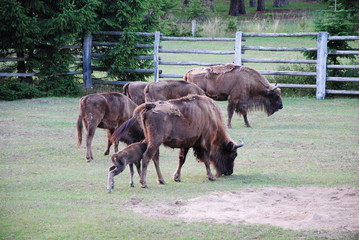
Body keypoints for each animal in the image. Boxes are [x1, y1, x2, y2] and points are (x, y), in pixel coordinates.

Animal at [112, 94, 245, 188]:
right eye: (233, 155)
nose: (229, 172)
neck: (211, 114)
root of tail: (149, 106)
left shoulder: (186, 144)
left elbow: (182, 160)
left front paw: (177, 177)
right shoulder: (206, 142)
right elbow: (207, 159)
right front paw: (211, 176)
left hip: (152, 141)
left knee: (155, 159)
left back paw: (162, 180)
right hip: (155, 141)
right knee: (146, 158)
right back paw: (144, 183)